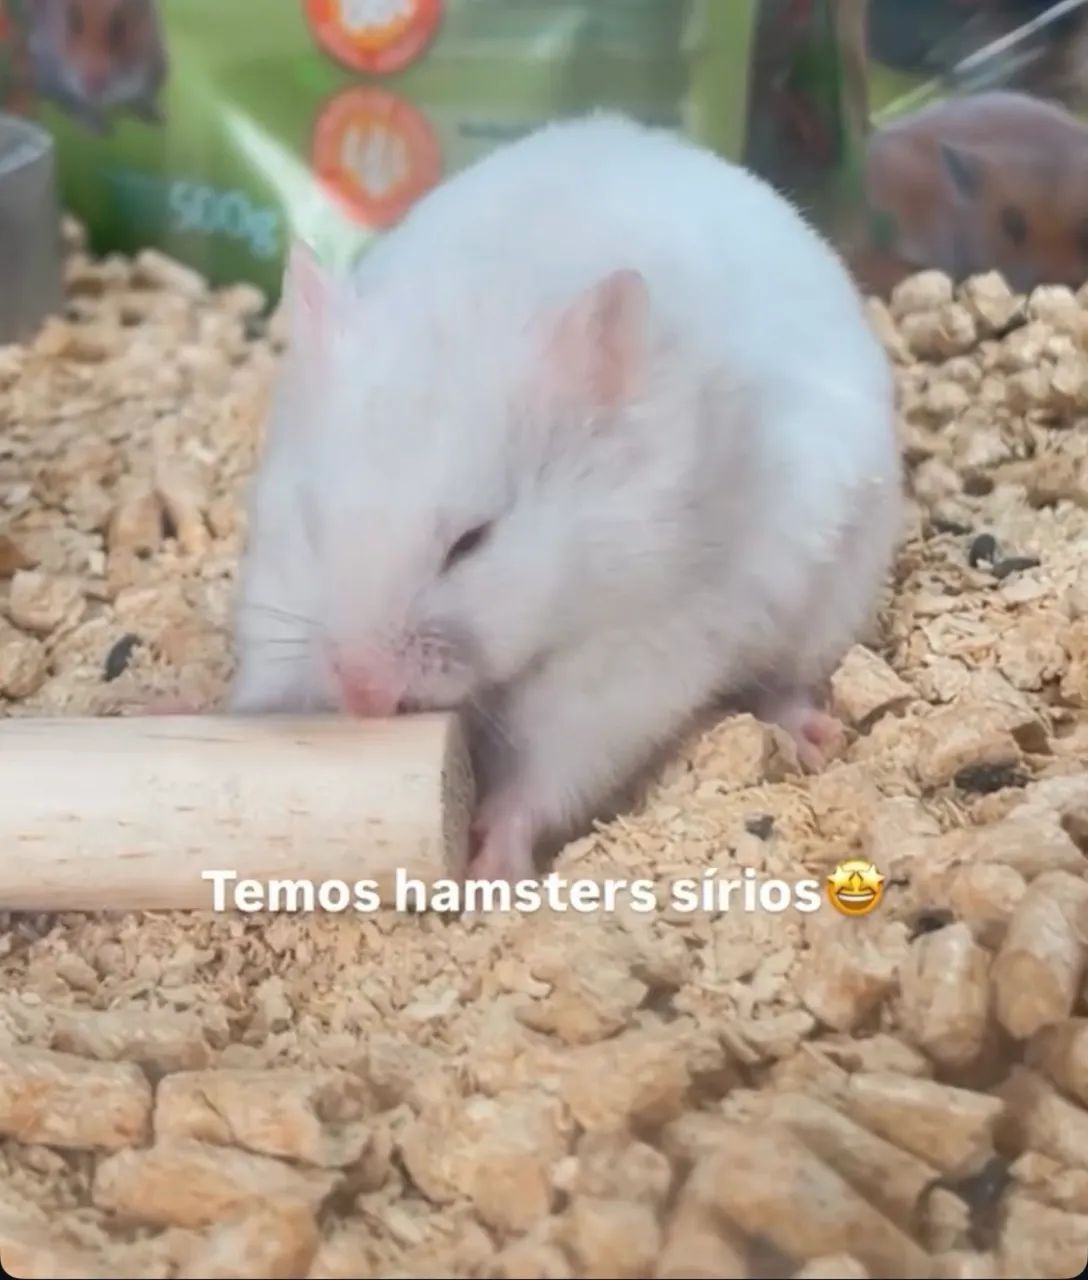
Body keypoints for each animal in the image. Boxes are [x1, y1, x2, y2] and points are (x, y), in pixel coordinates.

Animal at [26, 0, 166, 134]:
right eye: (73, 20)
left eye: (118, 25)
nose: (93, 85)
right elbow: (78, 106)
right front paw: (103, 131)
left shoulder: (153, 69)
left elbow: (144, 99)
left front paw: (159, 118)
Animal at [229, 113, 902, 884]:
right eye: (312, 524)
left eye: (473, 541)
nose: (363, 698)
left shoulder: (638, 647)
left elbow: (549, 764)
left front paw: (491, 860)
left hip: (832, 598)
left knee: (789, 683)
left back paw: (814, 735)